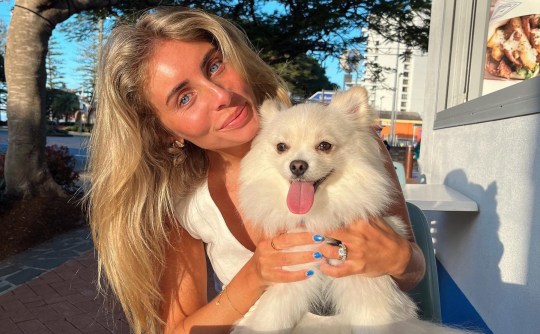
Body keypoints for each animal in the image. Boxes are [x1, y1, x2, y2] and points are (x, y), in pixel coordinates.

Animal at [234, 87, 470, 332]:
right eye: (281, 147)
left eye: (324, 146)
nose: (297, 165)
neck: (318, 216)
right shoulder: (293, 275)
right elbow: (270, 318)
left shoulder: (368, 294)